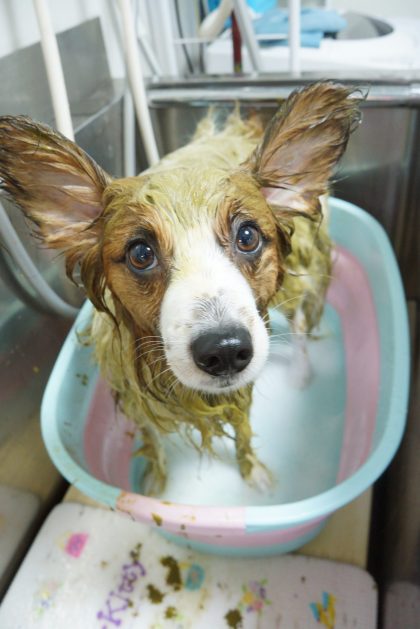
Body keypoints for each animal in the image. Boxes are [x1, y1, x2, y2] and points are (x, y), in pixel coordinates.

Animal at [0, 82, 360, 494]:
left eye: (248, 236)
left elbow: (243, 430)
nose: (224, 350)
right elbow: (152, 440)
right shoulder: (133, 394)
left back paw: (300, 372)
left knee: (300, 324)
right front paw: (156, 483)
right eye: (141, 253)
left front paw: (251, 470)